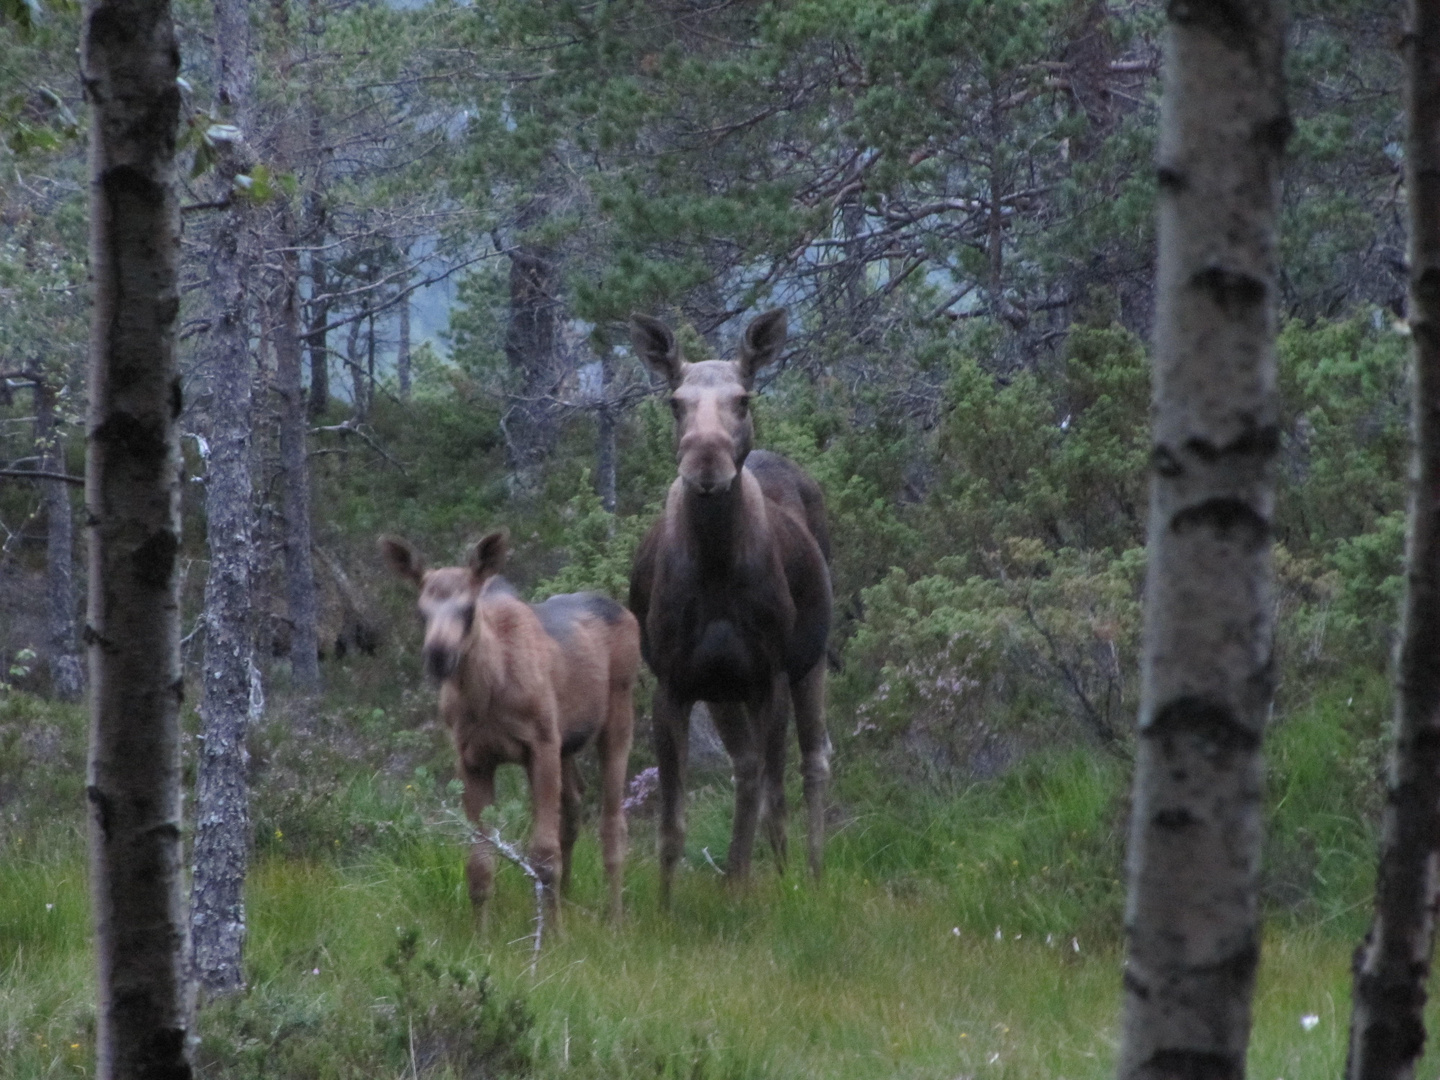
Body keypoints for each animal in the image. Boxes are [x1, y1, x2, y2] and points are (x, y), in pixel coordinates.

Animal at [380, 532, 639, 933]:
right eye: (421, 612)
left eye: (468, 609)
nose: (438, 655)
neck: (488, 692)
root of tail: (626, 612)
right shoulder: (471, 758)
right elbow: (479, 862)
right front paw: (482, 937)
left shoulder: (541, 745)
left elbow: (543, 856)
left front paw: (554, 937)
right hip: (567, 744)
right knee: (574, 806)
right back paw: (569, 899)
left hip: (617, 717)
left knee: (613, 823)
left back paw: (614, 919)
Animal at [630, 308, 835, 910]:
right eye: (675, 402)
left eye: (742, 398)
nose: (707, 466)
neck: (716, 567)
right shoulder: (673, 682)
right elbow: (671, 822)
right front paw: (665, 907)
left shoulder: (768, 675)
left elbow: (775, 799)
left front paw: (770, 888)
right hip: (722, 690)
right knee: (746, 769)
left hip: (810, 659)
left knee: (812, 762)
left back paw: (810, 873)